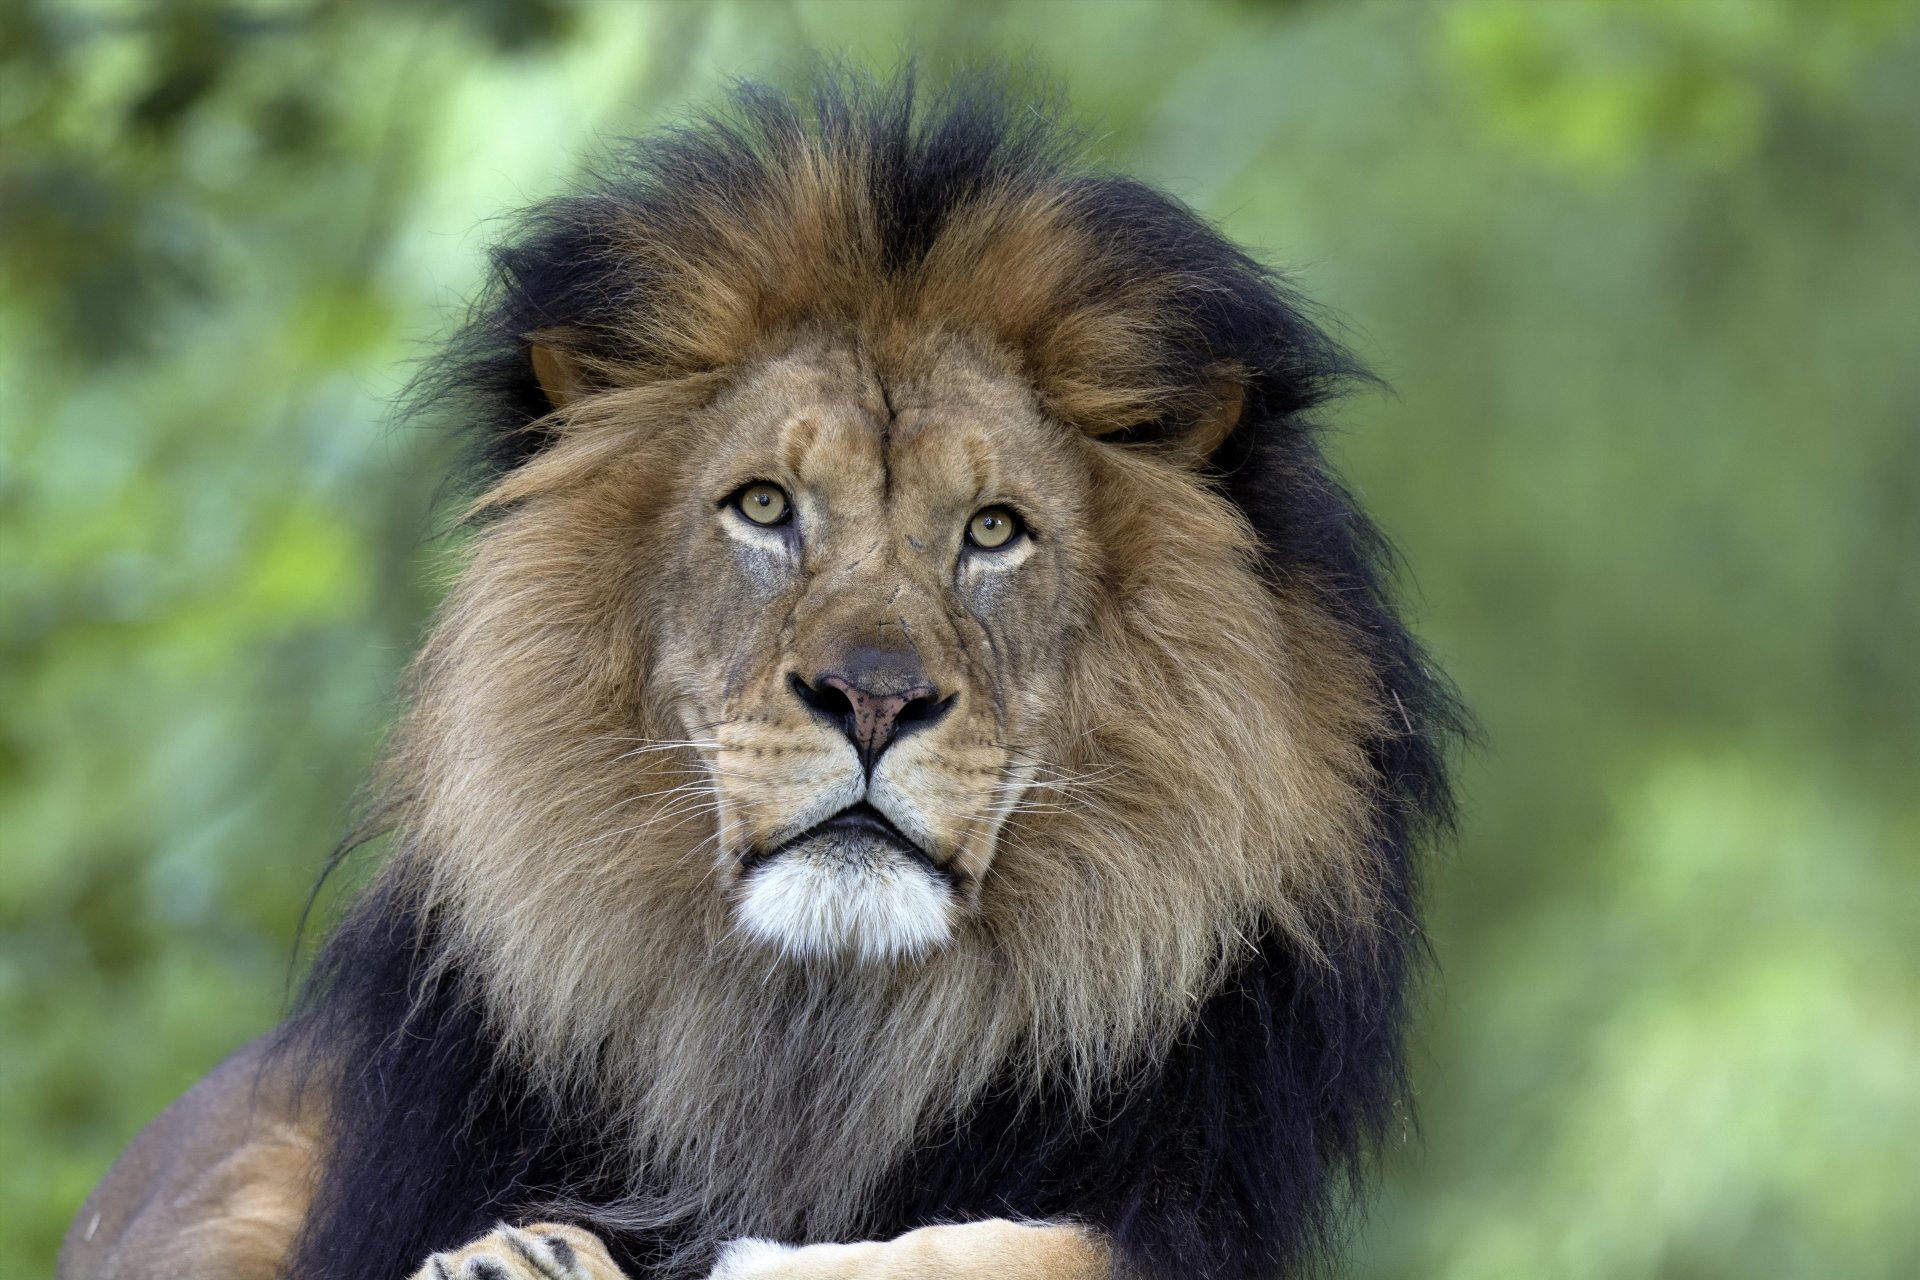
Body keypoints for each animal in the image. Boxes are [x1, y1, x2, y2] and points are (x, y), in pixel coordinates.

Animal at [58, 71, 1461, 1280]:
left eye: (993, 529)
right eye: (766, 506)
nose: (874, 700)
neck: (809, 1039)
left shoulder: (1188, 1202)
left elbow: (1042, 1245)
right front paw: (523, 1254)